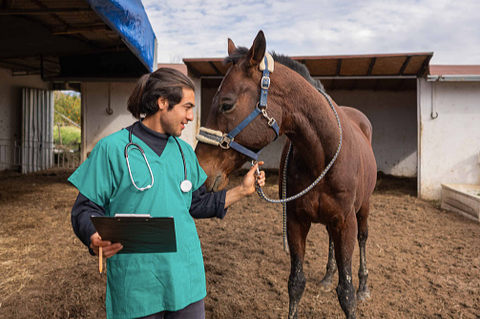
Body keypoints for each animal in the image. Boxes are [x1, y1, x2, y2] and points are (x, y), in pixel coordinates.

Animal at [195, 30, 378, 319]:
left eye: (226, 105)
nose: (201, 168)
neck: (321, 156)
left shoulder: (345, 221)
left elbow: (346, 293)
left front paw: (354, 290)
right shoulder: (295, 220)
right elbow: (296, 283)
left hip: (363, 208)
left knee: (363, 238)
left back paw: (364, 286)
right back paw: (327, 277)